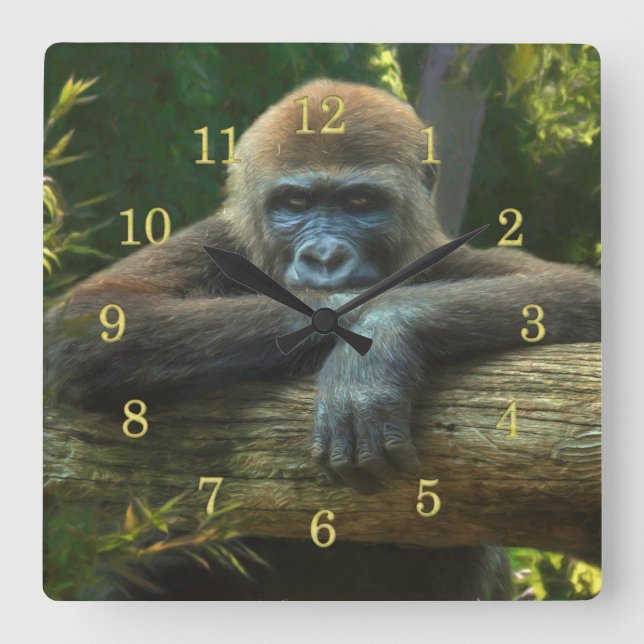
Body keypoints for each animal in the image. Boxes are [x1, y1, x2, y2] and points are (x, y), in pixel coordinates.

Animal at [45, 78, 600, 599]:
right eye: (295, 201)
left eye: (360, 202)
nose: (325, 257)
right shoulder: (219, 238)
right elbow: (96, 315)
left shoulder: (447, 253)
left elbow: (576, 293)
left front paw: (382, 331)